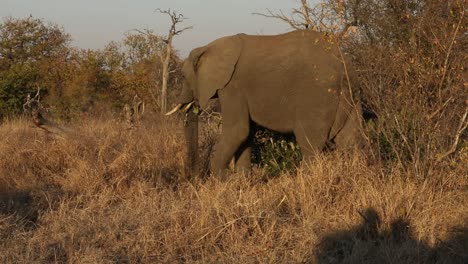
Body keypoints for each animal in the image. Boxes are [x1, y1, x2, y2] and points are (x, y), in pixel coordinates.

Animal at [166, 29, 364, 178]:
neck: (209, 46)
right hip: (352, 97)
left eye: (183, 76)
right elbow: (246, 133)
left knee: (309, 144)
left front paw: (224, 180)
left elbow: (238, 131)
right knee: (350, 140)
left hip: (317, 96)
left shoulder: (233, 87)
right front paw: (241, 182)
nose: (194, 178)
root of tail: (343, 67)